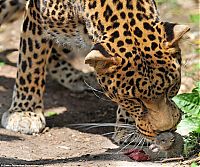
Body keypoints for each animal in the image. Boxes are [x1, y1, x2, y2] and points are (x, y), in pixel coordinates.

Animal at [0, 0, 190, 144]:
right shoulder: (37, 16)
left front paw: (129, 127)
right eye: (134, 99)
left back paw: (73, 75)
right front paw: (24, 113)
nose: (165, 131)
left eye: (171, 88)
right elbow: (31, 62)